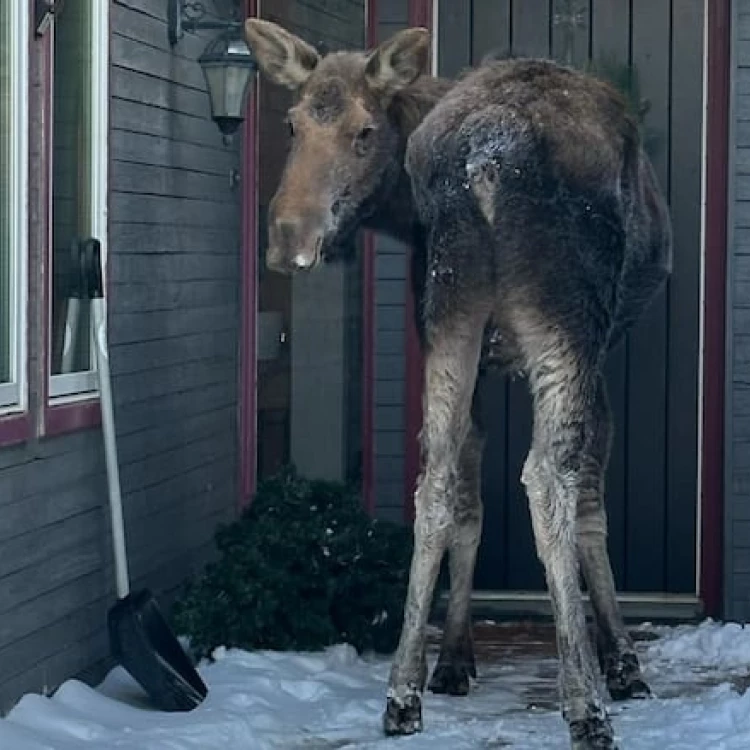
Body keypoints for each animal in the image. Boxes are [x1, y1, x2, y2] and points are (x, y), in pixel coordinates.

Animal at [244, 17, 672, 750]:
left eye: (363, 130)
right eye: (294, 124)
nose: (286, 238)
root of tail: (485, 162)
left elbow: (467, 498)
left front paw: (451, 657)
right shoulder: (603, 348)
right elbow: (590, 503)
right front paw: (621, 662)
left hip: (453, 311)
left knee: (438, 476)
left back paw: (401, 694)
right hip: (565, 315)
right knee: (547, 478)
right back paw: (585, 703)